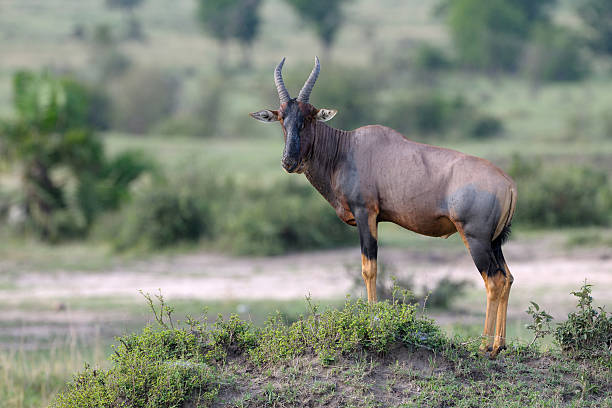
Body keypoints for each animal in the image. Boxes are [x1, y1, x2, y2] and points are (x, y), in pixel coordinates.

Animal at [249, 57, 516, 356]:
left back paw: (483, 347)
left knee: (493, 281)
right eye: (282, 118)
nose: (289, 162)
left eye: (308, 118)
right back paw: (500, 344)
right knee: (507, 278)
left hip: (475, 238)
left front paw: (372, 322)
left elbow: (369, 268)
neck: (346, 149)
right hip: (494, 242)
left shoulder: (366, 214)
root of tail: (508, 184)